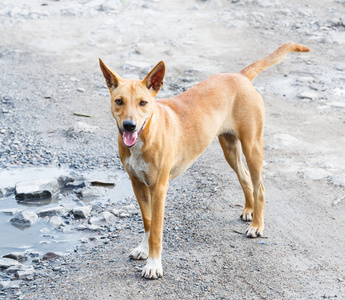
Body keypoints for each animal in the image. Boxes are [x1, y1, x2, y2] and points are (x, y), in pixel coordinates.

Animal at [99, 42, 310, 278]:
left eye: (143, 103)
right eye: (119, 101)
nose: (129, 126)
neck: (147, 132)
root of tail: (240, 76)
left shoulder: (159, 188)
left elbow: (156, 230)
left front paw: (153, 264)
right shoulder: (137, 184)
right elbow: (147, 221)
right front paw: (144, 250)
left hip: (252, 146)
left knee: (260, 187)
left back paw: (257, 225)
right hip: (230, 148)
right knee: (245, 177)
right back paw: (249, 209)